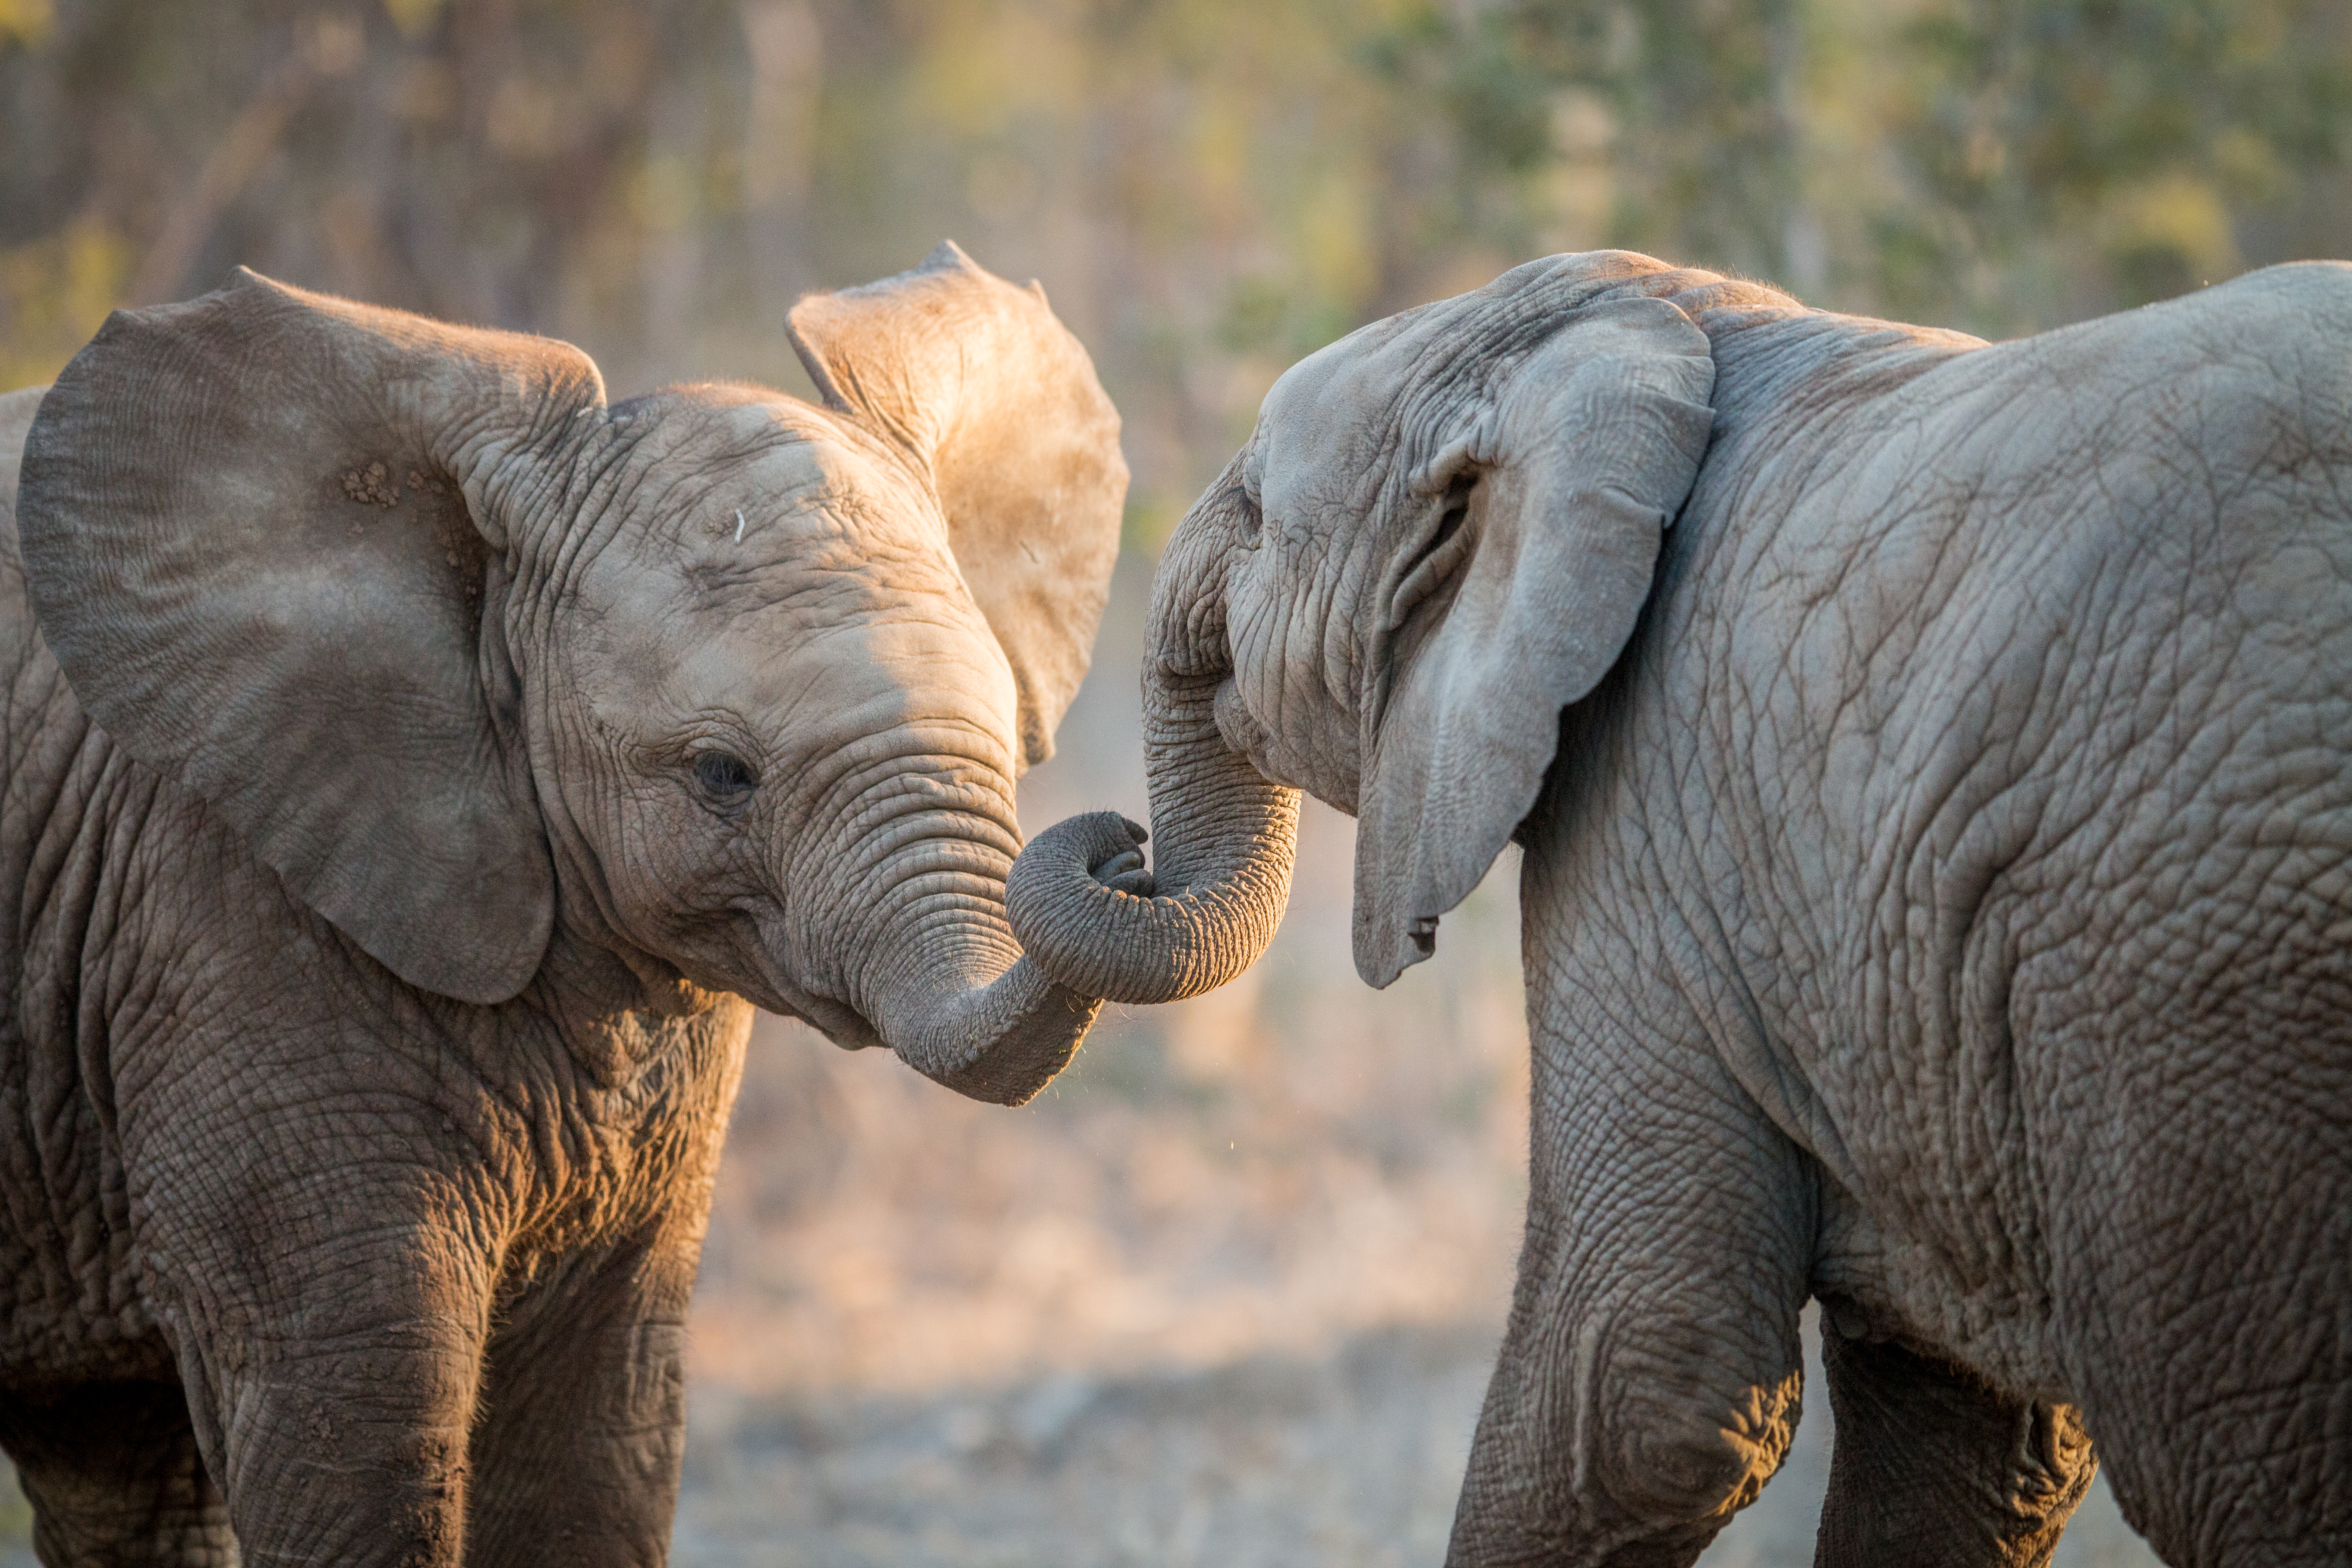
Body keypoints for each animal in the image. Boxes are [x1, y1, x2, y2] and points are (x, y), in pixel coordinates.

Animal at [0, 240, 1125, 1565]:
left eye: (1007, 730)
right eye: (721, 774)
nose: (1122, 849)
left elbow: (596, 1441)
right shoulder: (214, 918)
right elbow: (355, 1441)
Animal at [1005, 250, 2352, 1565]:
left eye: (1252, 518)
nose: (1119, 848)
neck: (1664, 322)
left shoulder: (1644, 811)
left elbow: (1627, 1387)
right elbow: (1970, 1436)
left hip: (2194, 960)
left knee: (2229, 1456)